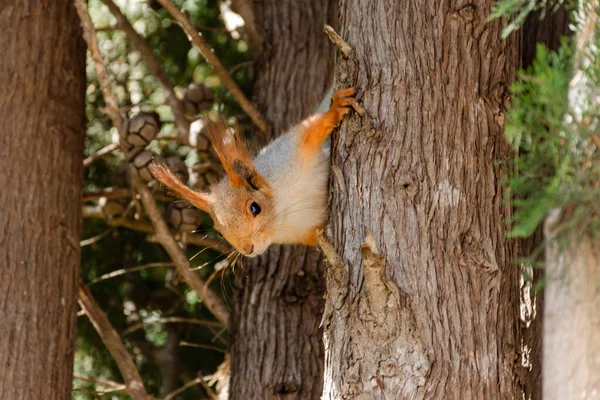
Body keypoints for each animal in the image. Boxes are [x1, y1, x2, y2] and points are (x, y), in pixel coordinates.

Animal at [151, 87, 356, 256]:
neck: (284, 211)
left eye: (255, 208)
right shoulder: (305, 232)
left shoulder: (290, 154)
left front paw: (335, 109)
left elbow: (312, 130)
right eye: (219, 231)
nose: (248, 249)